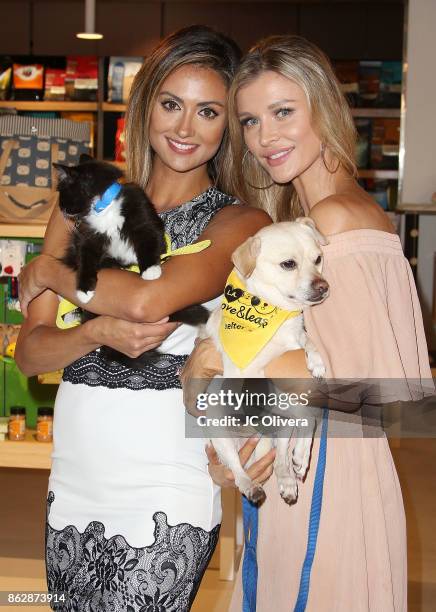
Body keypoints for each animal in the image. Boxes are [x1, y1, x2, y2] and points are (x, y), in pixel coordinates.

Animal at [53, 155, 209, 368]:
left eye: (63, 193)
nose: (60, 208)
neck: (104, 208)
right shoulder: (87, 239)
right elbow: (85, 261)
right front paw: (84, 291)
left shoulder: (144, 221)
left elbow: (149, 244)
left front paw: (151, 271)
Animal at [203, 218, 328, 504]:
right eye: (288, 264)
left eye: (318, 259)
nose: (323, 287)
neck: (278, 315)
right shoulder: (251, 376)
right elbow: (308, 415)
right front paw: (302, 454)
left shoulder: (295, 345)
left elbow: (308, 343)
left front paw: (317, 361)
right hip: (219, 429)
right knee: (236, 470)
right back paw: (252, 486)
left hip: (278, 430)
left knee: (280, 454)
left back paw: (288, 478)